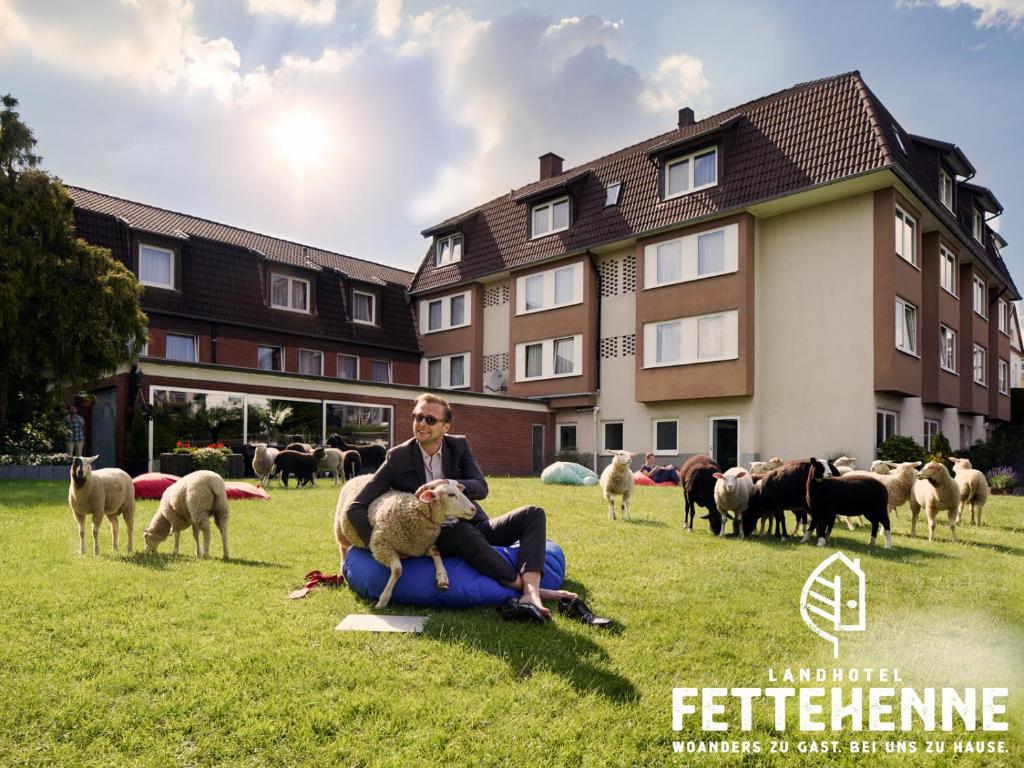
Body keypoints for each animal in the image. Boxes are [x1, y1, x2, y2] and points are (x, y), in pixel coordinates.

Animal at [335, 475, 479, 606]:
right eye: (451, 495)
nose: (473, 509)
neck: (417, 512)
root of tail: (360, 476)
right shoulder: (382, 546)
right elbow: (398, 570)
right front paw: (383, 600)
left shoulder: (421, 547)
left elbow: (436, 553)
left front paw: (442, 576)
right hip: (340, 530)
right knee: (343, 548)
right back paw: (342, 568)